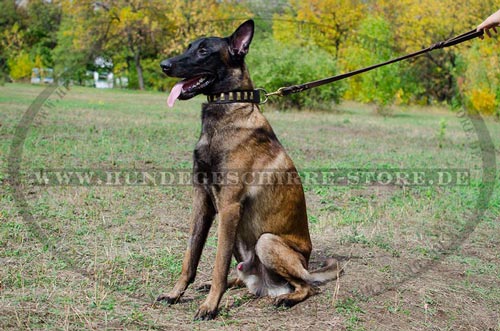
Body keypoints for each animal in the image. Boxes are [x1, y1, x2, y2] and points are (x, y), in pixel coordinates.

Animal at [158, 19, 342, 320]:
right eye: (189, 46)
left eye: (204, 51)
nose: (164, 65)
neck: (228, 106)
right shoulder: (203, 202)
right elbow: (190, 256)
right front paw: (176, 293)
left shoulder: (229, 206)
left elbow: (218, 265)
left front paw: (210, 306)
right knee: (242, 277)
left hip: (265, 241)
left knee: (308, 287)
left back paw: (287, 298)